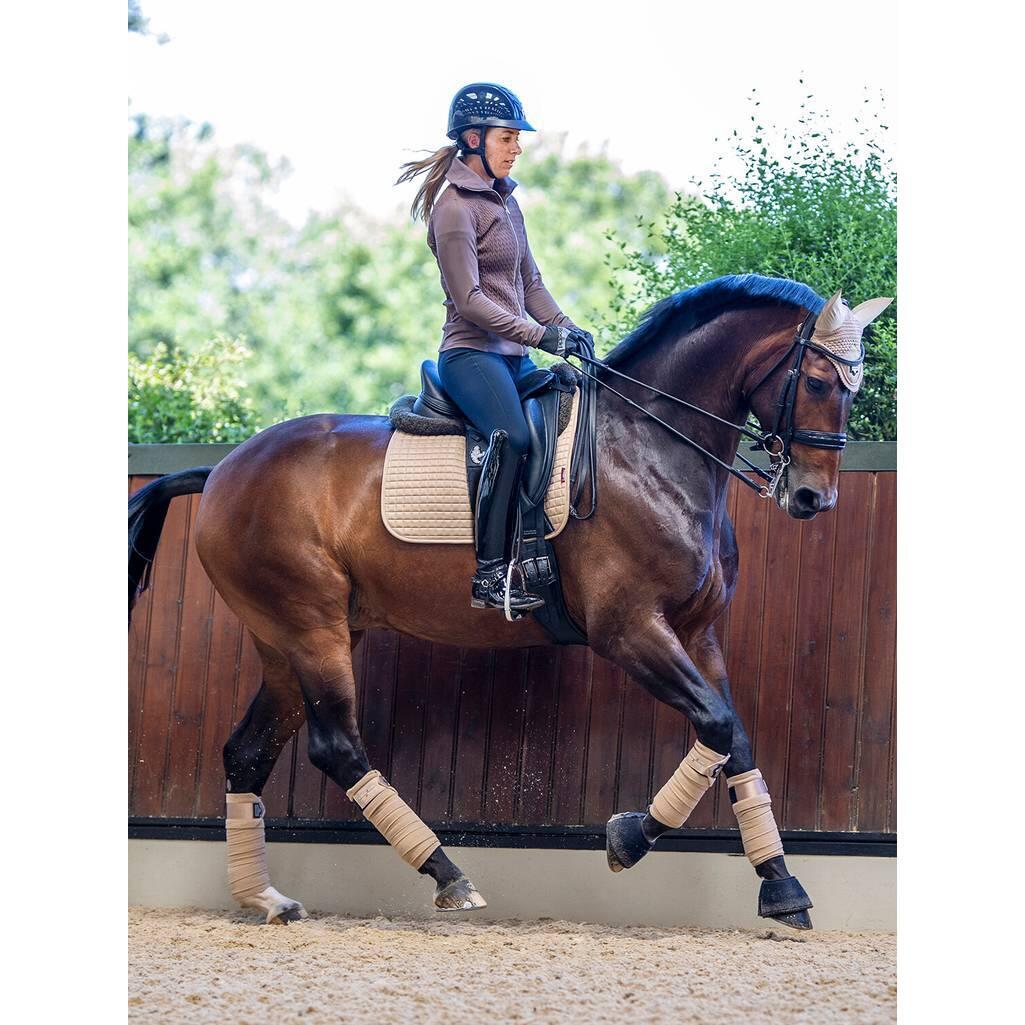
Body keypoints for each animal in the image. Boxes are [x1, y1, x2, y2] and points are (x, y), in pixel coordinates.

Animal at [128, 274, 892, 929]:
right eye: (818, 379)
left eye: (853, 387)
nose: (811, 498)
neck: (648, 447)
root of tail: (221, 470)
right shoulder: (630, 629)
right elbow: (716, 725)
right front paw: (628, 838)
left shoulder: (698, 633)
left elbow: (733, 739)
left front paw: (782, 887)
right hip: (309, 626)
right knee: (336, 745)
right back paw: (447, 874)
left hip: (288, 640)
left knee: (247, 753)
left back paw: (266, 899)